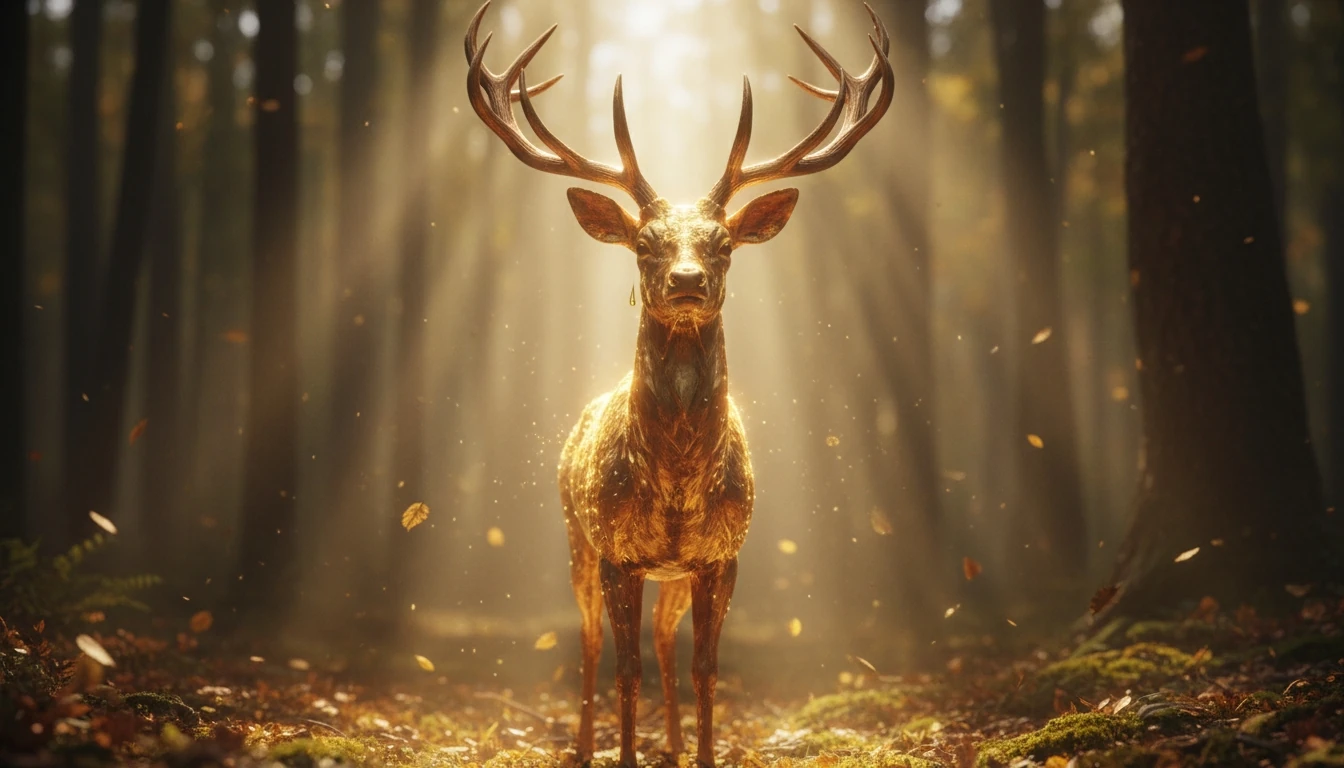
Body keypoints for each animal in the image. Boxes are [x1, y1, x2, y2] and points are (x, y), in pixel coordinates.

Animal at [464, 4, 893, 766]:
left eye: (722, 244)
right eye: (644, 243)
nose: (687, 280)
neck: (677, 485)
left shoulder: (723, 555)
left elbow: (704, 667)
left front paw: (700, 753)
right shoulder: (618, 551)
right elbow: (624, 667)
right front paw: (624, 755)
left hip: (670, 574)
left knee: (666, 644)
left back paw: (667, 741)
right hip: (575, 534)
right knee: (590, 642)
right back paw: (584, 745)